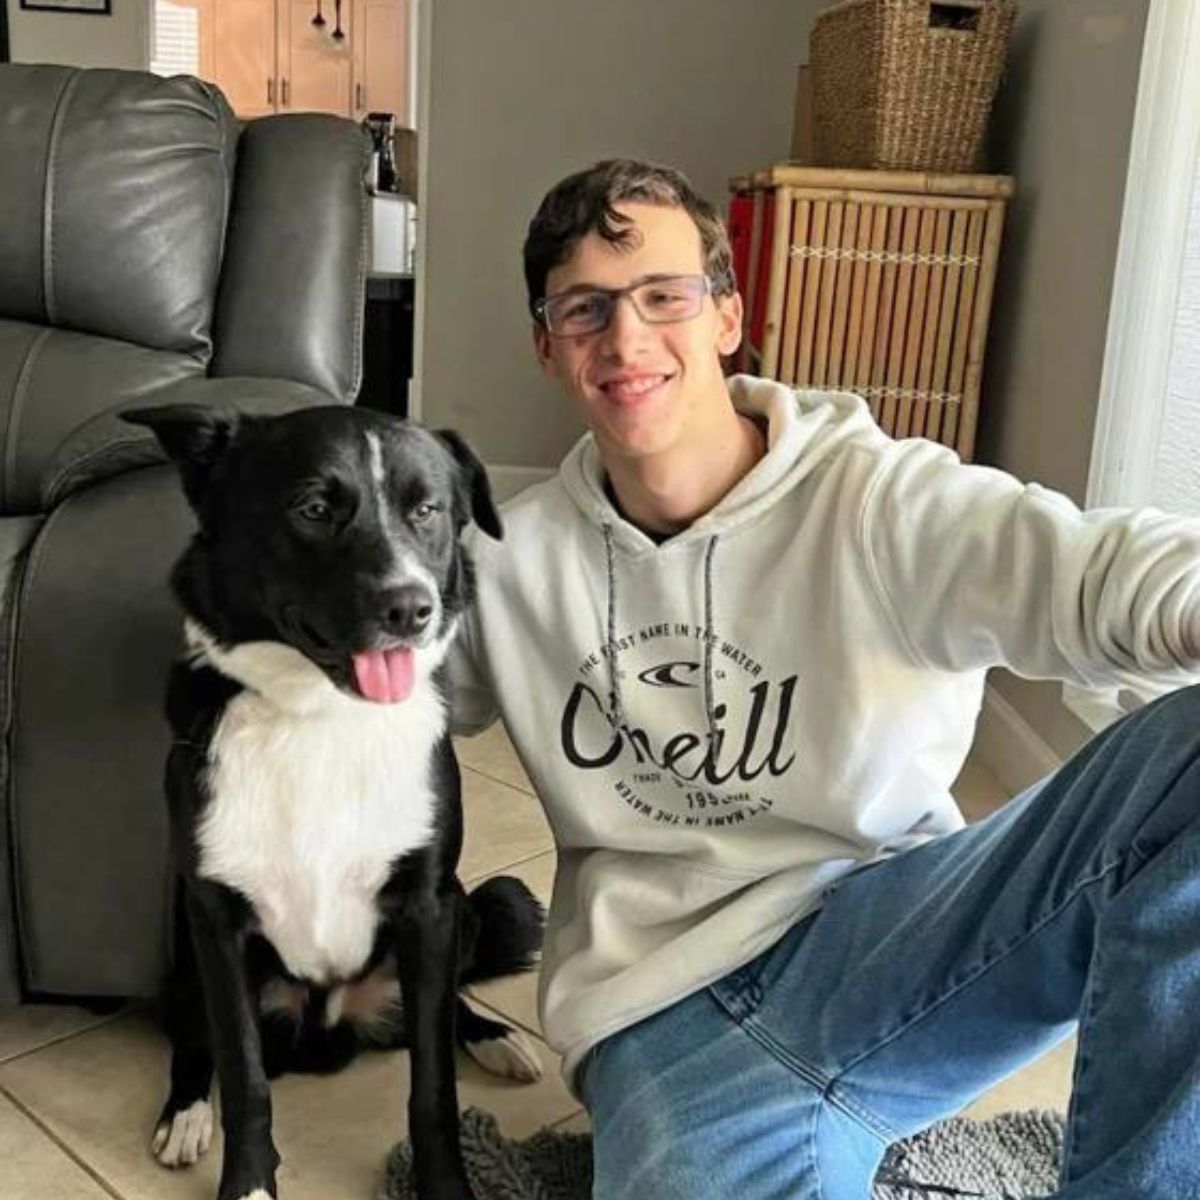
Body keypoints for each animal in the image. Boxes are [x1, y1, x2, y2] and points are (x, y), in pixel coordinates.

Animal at [124, 405, 547, 1200]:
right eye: (313, 509)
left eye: (426, 510)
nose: (411, 608)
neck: (319, 717)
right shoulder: (216, 921)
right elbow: (244, 1079)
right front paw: (247, 1184)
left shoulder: (429, 907)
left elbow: (433, 1087)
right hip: (179, 947)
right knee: (195, 1043)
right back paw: (187, 1115)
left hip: (459, 914)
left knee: (451, 1009)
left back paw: (500, 1039)